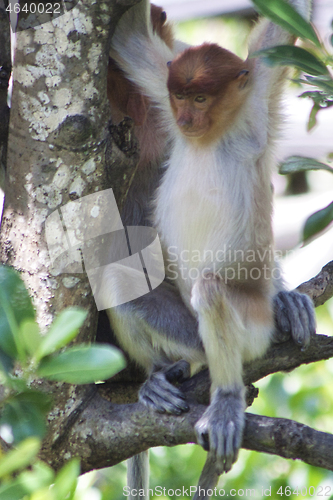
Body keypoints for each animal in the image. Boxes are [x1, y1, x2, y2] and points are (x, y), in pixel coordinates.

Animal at [103, 0, 314, 496]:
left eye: (201, 99)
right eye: (180, 96)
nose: (185, 120)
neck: (213, 134)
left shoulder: (257, 97)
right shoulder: (158, 91)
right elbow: (128, 39)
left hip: (251, 325)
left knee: (212, 290)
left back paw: (226, 398)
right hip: (184, 327)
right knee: (117, 278)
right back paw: (162, 376)